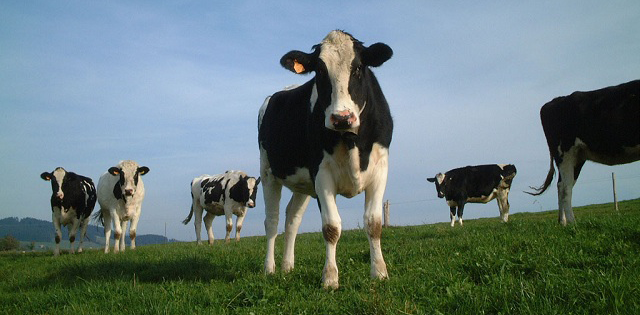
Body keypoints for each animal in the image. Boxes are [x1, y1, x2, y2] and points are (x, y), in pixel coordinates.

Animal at [528, 80, 636, 226]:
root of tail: (554, 101)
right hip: (565, 153)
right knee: (565, 187)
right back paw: (572, 223)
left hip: (577, 157)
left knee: (561, 185)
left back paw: (562, 221)